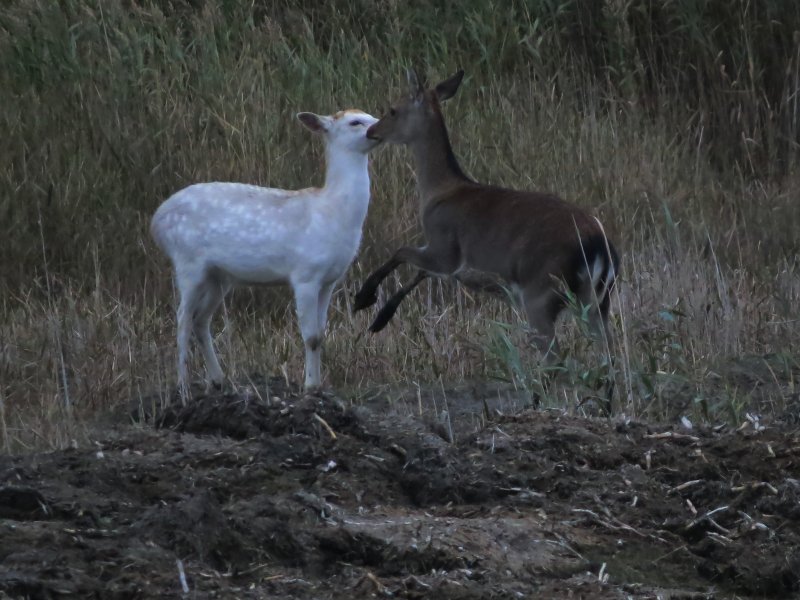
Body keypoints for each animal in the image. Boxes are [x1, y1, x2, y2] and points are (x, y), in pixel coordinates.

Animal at [151, 109, 379, 399]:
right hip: (187, 261)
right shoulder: (305, 273)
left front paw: (318, 385)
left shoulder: (330, 279)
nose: (380, 128)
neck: (332, 213)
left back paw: (218, 380)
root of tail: (156, 221)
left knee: (200, 318)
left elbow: (321, 334)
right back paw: (183, 388)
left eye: (371, 114)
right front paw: (308, 386)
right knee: (182, 319)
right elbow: (310, 336)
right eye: (355, 122)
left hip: (219, 276)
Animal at [354, 70, 620, 402]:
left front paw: (364, 298)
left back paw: (536, 400)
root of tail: (597, 245)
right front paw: (379, 318)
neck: (439, 192)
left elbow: (403, 253)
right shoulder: (447, 258)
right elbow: (419, 272)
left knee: (557, 359)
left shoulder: (445, 245)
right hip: (598, 299)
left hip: (541, 293)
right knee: (609, 357)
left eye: (393, 109)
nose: (372, 131)